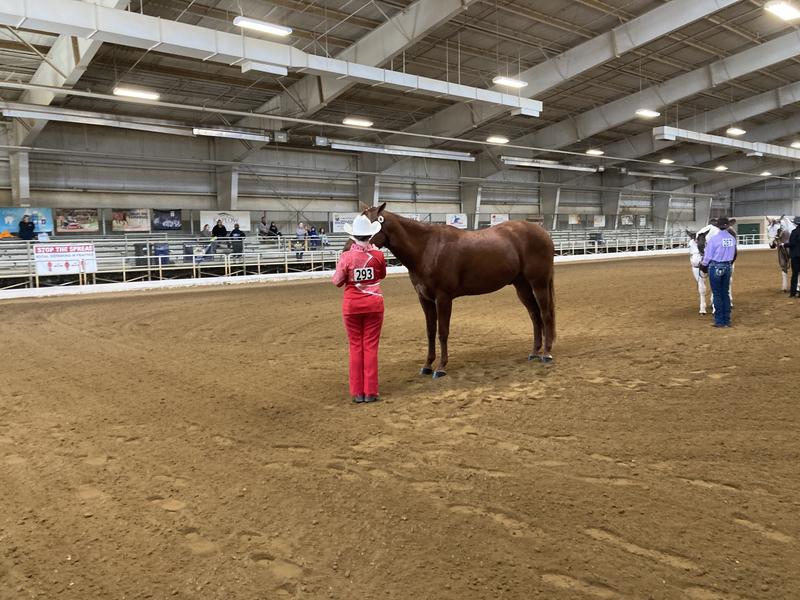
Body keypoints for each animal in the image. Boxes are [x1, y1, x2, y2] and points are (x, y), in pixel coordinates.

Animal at [360, 203, 556, 377]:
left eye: (370, 223)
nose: (354, 247)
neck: (427, 248)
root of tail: (542, 233)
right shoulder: (425, 299)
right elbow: (430, 331)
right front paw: (427, 366)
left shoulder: (443, 298)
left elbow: (442, 332)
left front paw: (440, 367)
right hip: (521, 285)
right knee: (535, 315)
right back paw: (535, 352)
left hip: (539, 283)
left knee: (545, 314)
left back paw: (546, 354)